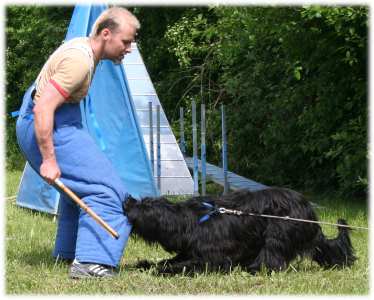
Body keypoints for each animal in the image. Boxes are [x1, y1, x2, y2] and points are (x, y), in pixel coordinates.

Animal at [123, 189, 356, 276]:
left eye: (143, 207)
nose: (127, 201)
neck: (191, 221)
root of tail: (310, 214)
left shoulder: (213, 258)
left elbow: (190, 264)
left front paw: (162, 271)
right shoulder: (190, 251)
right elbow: (168, 260)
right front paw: (145, 264)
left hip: (279, 232)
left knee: (272, 256)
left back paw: (254, 268)